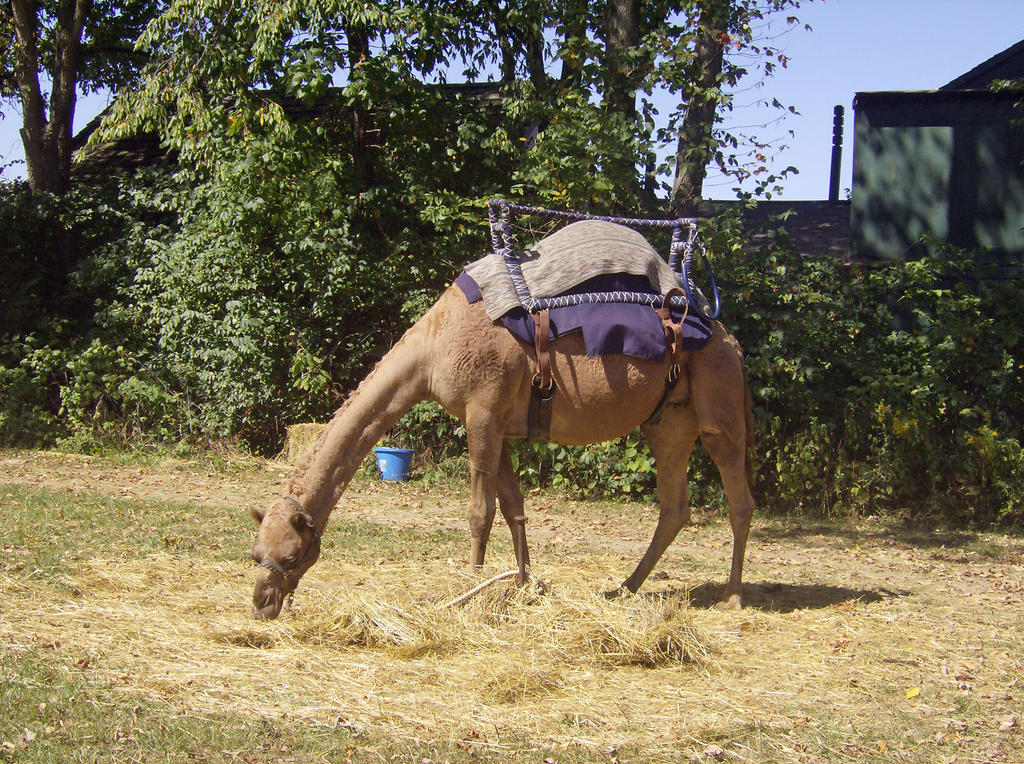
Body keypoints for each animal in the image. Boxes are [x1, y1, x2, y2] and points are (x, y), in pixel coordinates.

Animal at [249, 281, 755, 620]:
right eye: (255, 553)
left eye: (292, 556)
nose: (262, 603)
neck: (432, 349)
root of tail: (732, 341)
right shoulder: (500, 425)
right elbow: (513, 506)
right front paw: (524, 584)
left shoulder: (482, 410)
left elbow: (480, 511)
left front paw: (469, 587)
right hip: (667, 423)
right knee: (675, 508)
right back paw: (624, 588)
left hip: (721, 410)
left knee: (739, 500)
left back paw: (732, 598)